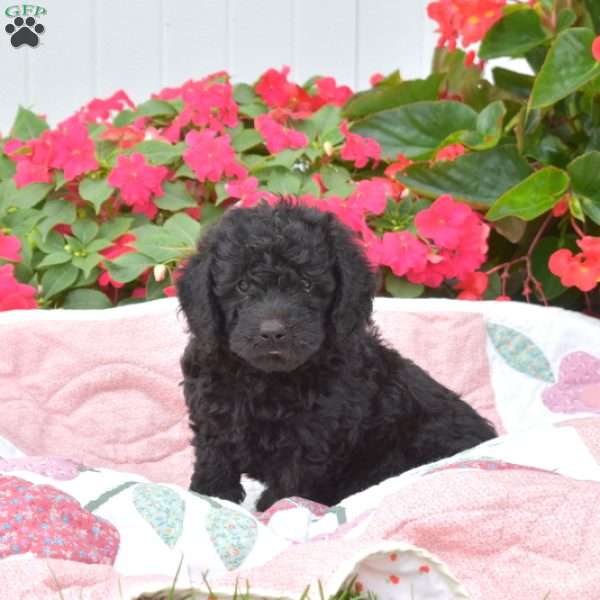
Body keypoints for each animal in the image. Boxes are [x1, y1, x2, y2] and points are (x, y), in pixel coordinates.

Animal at [178, 203, 496, 510]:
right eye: (242, 285)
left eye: (306, 285)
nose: (272, 332)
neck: (267, 379)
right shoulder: (213, 414)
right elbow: (214, 459)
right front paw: (210, 495)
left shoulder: (313, 435)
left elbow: (290, 484)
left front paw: (275, 509)